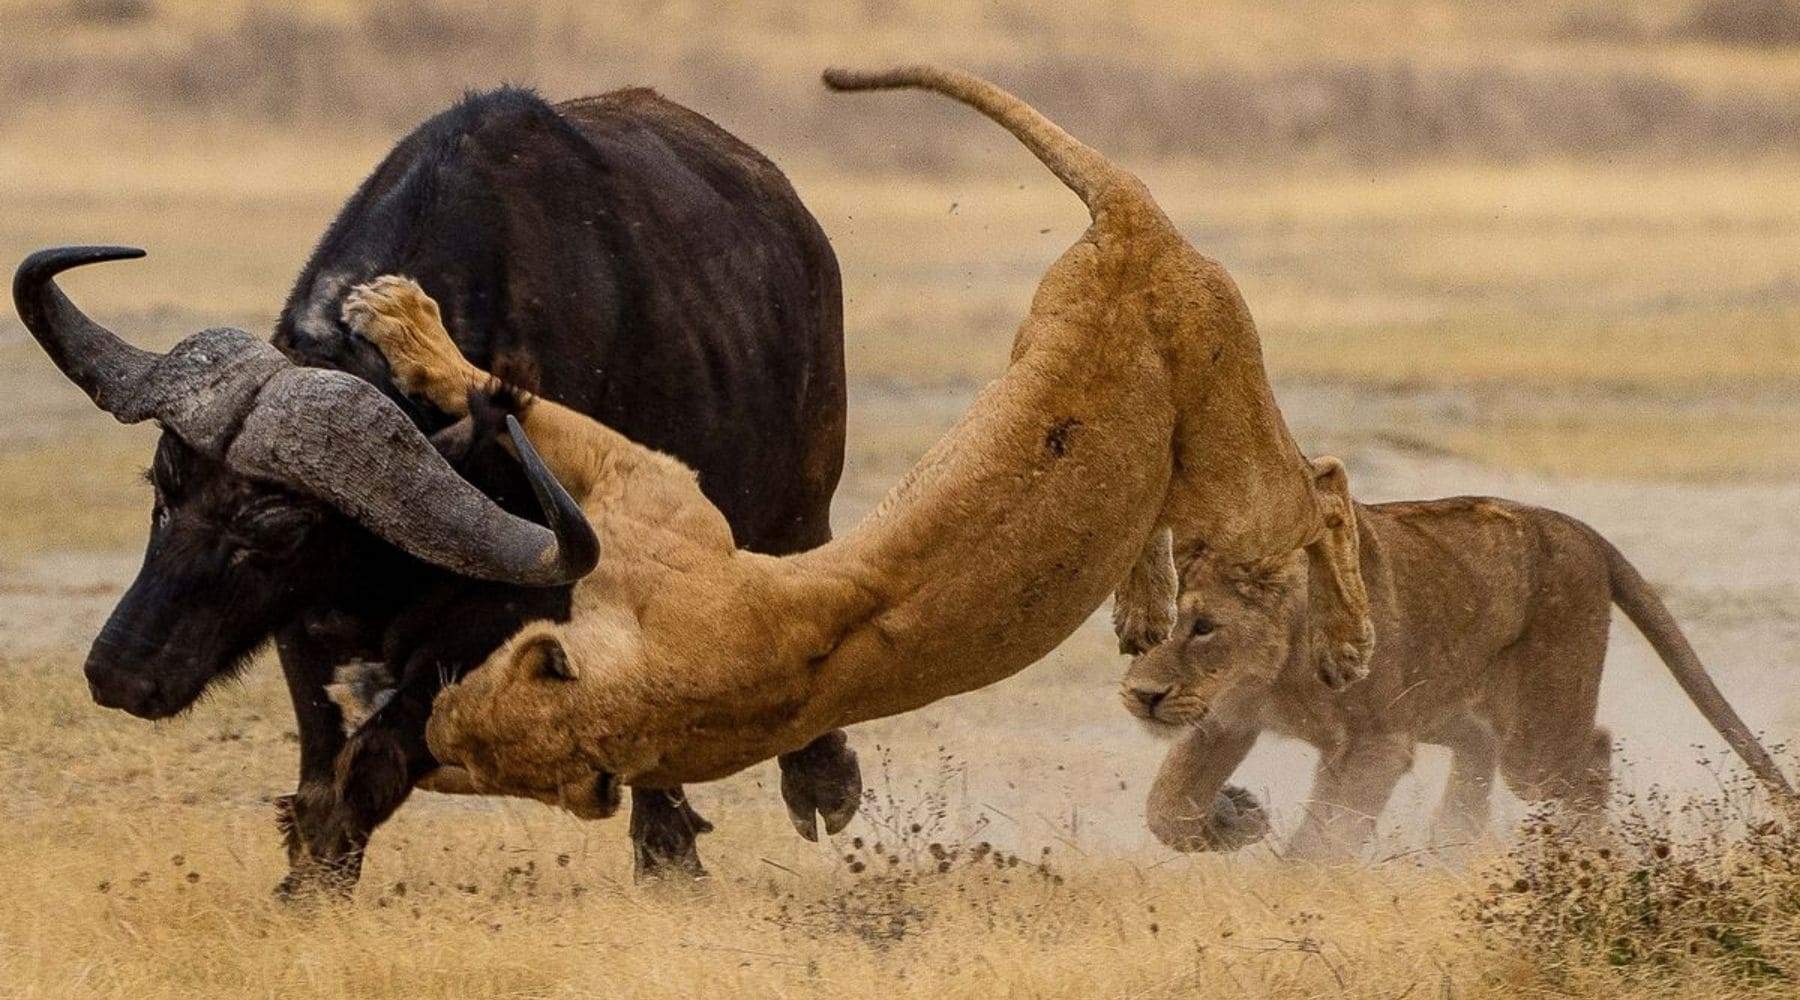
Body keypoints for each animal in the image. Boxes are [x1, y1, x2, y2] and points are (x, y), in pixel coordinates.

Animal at [12, 84, 856, 881]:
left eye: (277, 527)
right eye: (163, 488)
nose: (119, 672)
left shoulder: (507, 618)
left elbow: (371, 767)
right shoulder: (304, 626)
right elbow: (320, 773)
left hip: (797, 508)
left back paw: (790, 797)